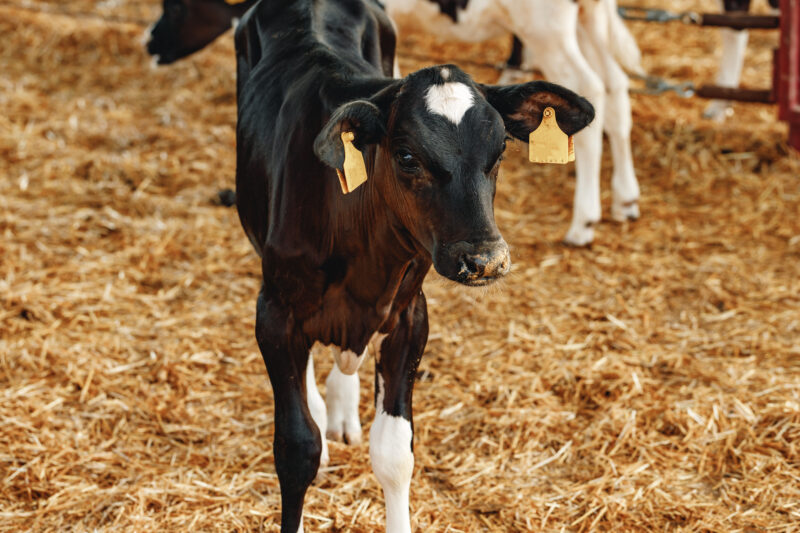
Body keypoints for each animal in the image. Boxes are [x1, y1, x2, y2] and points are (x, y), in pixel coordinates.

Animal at [234, 1, 594, 531]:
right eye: (406, 156)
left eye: (500, 151)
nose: (485, 259)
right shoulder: (275, 313)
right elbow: (297, 449)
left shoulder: (408, 316)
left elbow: (394, 454)